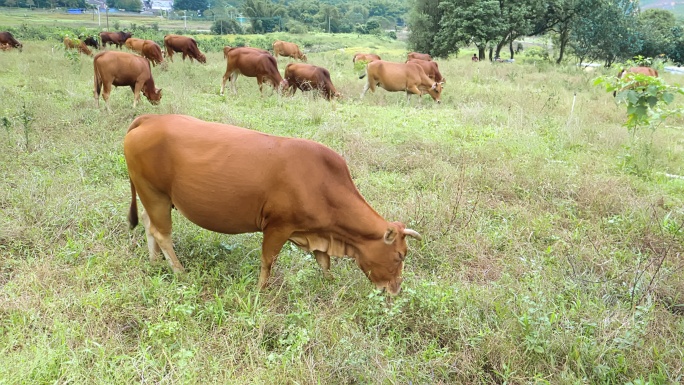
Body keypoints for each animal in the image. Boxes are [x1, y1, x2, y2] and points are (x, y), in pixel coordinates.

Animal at [125, 114, 420, 294]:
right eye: (400, 255)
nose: (396, 289)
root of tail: (150, 118)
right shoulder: (278, 226)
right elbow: (268, 261)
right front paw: (260, 291)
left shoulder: (317, 232)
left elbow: (324, 263)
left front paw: (331, 284)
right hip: (154, 192)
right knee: (162, 233)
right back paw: (179, 271)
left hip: (153, 196)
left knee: (149, 225)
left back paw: (154, 263)